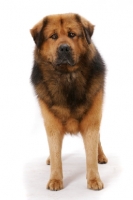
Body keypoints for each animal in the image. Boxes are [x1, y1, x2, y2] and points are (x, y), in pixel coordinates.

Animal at [29, 12, 107, 191]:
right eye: (53, 36)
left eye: (72, 34)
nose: (64, 48)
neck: (67, 77)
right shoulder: (51, 124)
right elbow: (56, 154)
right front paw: (55, 179)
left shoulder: (92, 120)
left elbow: (91, 153)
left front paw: (94, 179)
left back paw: (101, 156)